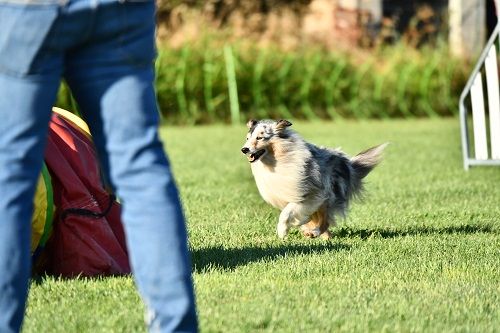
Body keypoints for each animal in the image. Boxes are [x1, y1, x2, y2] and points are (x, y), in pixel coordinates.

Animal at [241, 119, 386, 239]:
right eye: (247, 138)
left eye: (259, 138)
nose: (244, 149)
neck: (278, 160)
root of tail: (347, 163)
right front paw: (297, 225)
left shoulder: (309, 195)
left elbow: (286, 213)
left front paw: (282, 232)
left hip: (329, 196)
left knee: (325, 221)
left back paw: (315, 232)